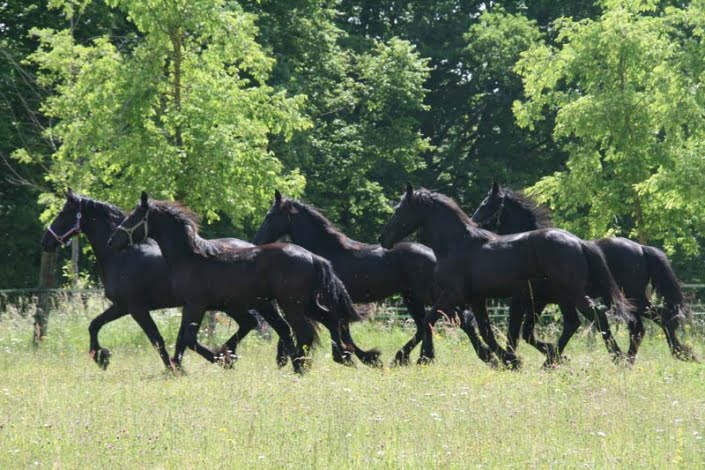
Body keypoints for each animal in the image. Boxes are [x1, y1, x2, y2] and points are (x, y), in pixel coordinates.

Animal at [41, 189, 308, 370]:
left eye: (64, 213)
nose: (46, 241)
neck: (123, 256)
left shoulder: (136, 308)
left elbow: (157, 339)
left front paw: (173, 368)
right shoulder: (121, 307)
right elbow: (94, 324)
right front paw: (101, 357)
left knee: (261, 324)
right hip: (235, 304)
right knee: (253, 324)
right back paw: (233, 354)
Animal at [107, 192, 381, 373]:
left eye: (134, 217)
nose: (112, 242)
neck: (190, 257)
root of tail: (314, 257)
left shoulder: (195, 305)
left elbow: (189, 339)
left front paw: (222, 359)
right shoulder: (192, 306)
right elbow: (183, 338)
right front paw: (184, 366)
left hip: (292, 304)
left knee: (304, 331)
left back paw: (302, 366)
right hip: (305, 303)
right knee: (330, 321)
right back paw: (345, 357)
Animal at [252, 190, 494, 366]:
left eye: (271, 216)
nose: (257, 241)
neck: (327, 251)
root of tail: (433, 255)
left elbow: (340, 329)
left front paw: (362, 357)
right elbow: (340, 328)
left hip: (432, 295)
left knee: (460, 319)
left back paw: (485, 356)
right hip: (412, 298)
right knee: (427, 324)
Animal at [379, 183, 633, 367]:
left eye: (399, 210)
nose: (383, 239)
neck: (456, 245)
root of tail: (579, 242)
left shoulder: (453, 294)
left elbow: (428, 320)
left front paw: (416, 357)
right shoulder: (476, 299)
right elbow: (487, 331)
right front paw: (507, 360)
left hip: (572, 294)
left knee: (597, 317)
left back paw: (618, 358)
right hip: (565, 296)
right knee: (579, 322)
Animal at [471, 182, 696, 363]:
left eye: (487, 204)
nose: (474, 224)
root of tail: (641, 248)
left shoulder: (526, 299)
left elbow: (519, 332)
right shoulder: (541, 300)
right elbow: (528, 333)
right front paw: (551, 353)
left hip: (634, 296)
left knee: (654, 320)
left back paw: (671, 354)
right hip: (631, 299)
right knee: (644, 324)